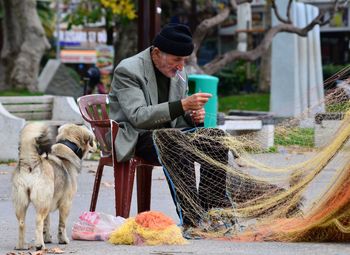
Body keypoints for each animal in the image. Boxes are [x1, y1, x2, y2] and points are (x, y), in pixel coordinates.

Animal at [11, 122, 96, 250]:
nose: (96, 146)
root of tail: (31, 162)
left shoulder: (49, 203)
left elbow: (47, 224)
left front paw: (47, 238)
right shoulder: (66, 203)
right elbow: (62, 224)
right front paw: (63, 240)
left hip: (23, 202)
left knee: (22, 223)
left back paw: (21, 245)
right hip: (42, 203)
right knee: (38, 221)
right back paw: (39, 245)